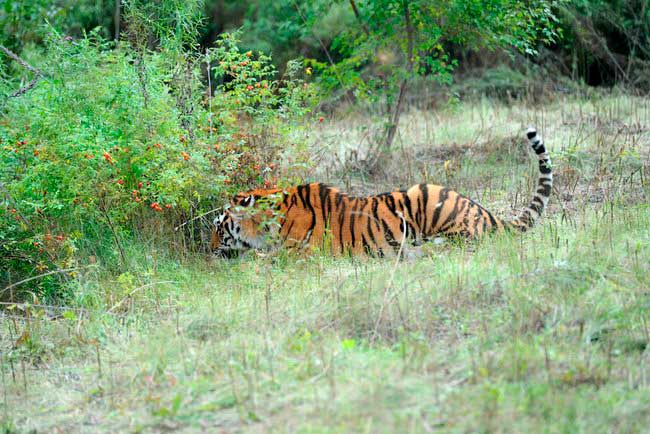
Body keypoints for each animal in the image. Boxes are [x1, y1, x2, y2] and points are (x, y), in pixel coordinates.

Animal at [210, 129, 548, 258]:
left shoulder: (301, 253)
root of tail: (484, 211)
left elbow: (262, 259)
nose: (209, 248)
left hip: (434, 206)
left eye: (218, 226)